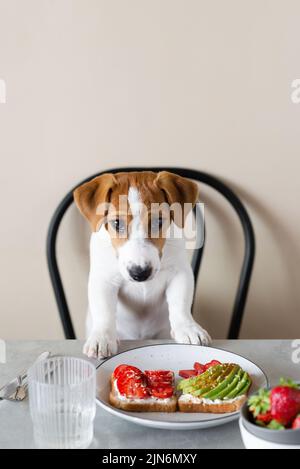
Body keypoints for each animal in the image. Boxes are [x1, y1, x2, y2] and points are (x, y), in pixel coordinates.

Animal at [74, 170, 211, 356]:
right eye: (117, 223)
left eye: (158, 221)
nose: (140, 274)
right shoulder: (103, 279)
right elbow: (104, 311)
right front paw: (102, 337)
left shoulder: (180, 273)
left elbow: (180, 304)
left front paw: (188, 328)